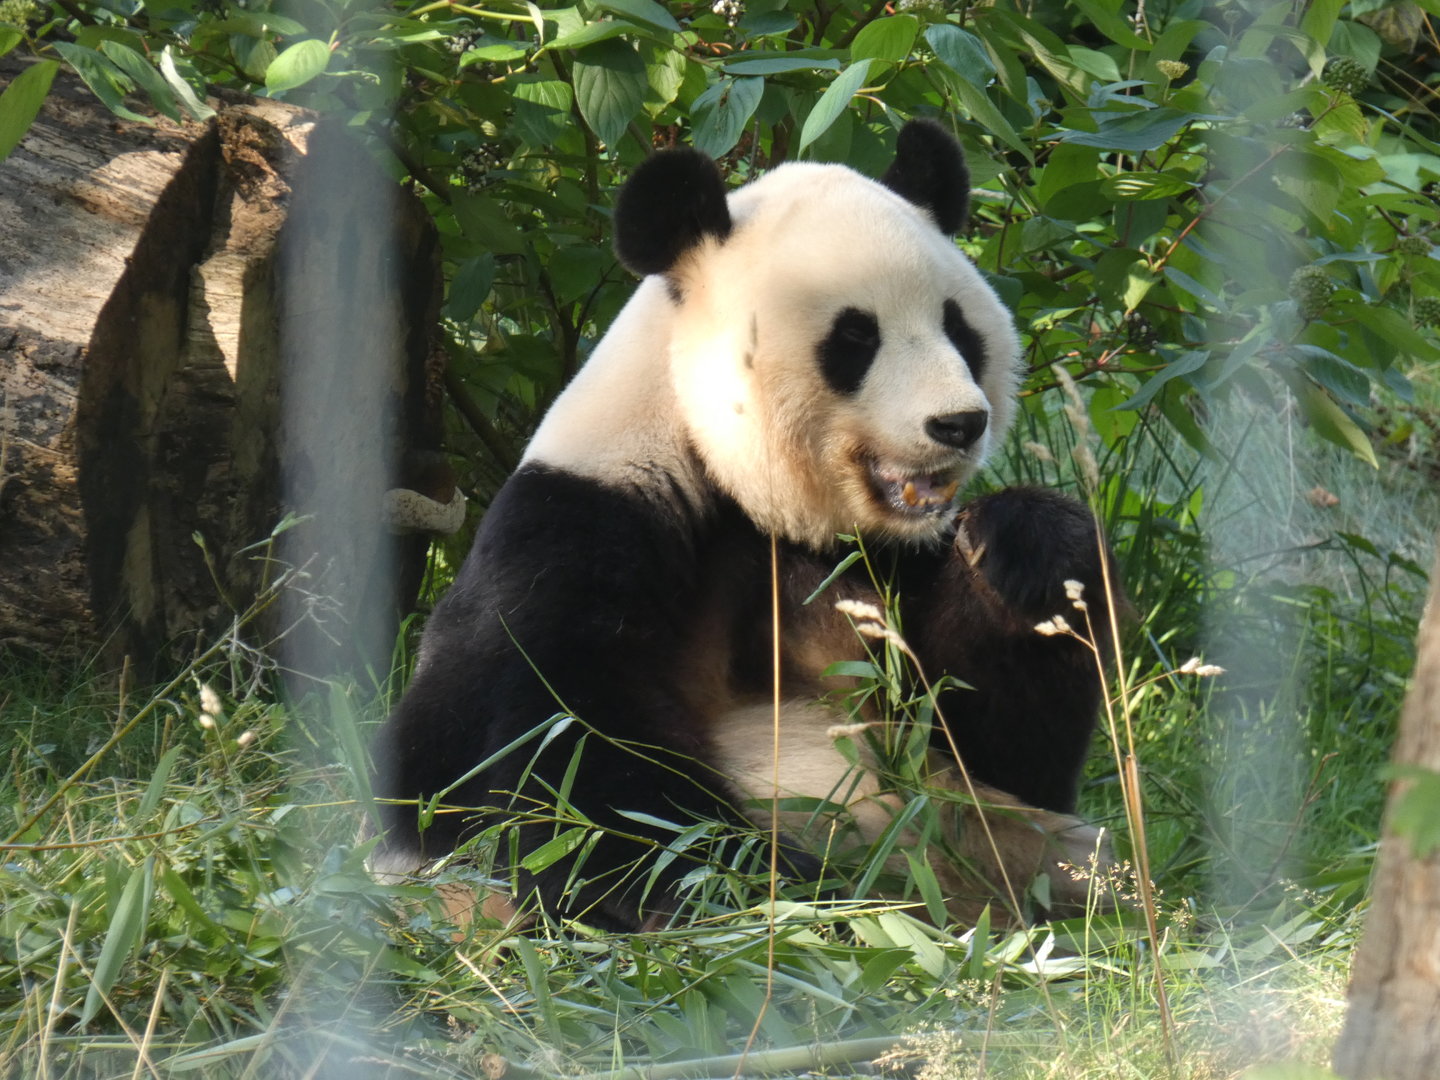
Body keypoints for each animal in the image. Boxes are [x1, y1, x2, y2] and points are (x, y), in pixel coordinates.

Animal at [369, 120, 1118, 931]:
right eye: (856, 338)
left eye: (959, 328)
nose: (958, 423)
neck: (747, 492)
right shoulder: (579, 536)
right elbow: (575, 781)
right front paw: (802, 896)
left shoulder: (885, 565)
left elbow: (994, 742)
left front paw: (1029, 552)